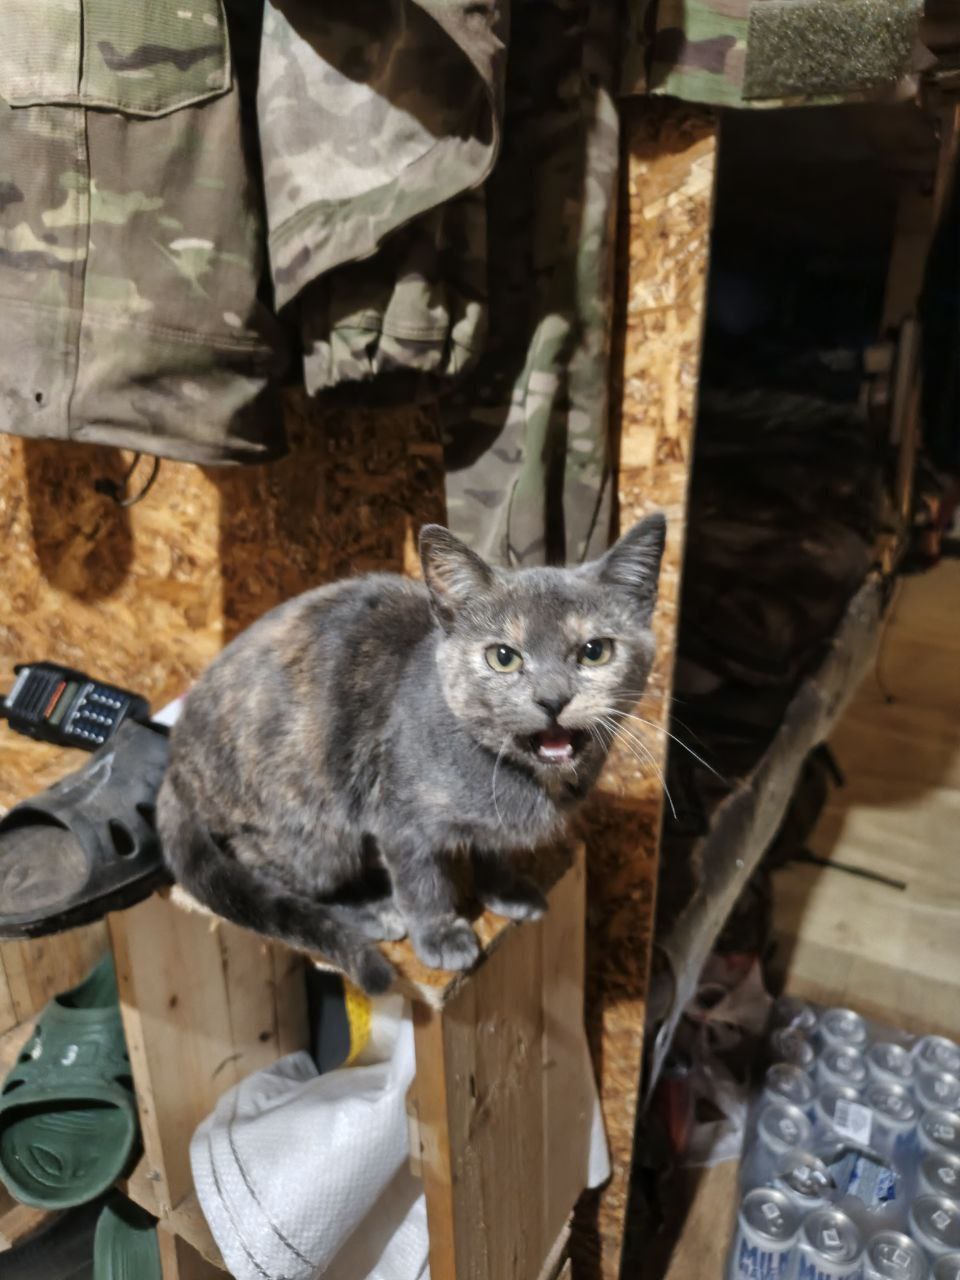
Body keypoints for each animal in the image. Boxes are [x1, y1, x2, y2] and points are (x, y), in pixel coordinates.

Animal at [157, 514, 666, 993]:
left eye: (595, 651)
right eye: (503, 657)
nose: (553, 699)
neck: (516, 777)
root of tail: (175, 763)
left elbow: (493, 851)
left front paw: (507, 893)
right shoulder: (401, 819)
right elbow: (422, 883)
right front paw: (441, 936)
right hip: (312, 830)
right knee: (269, 870)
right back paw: (371, 910)